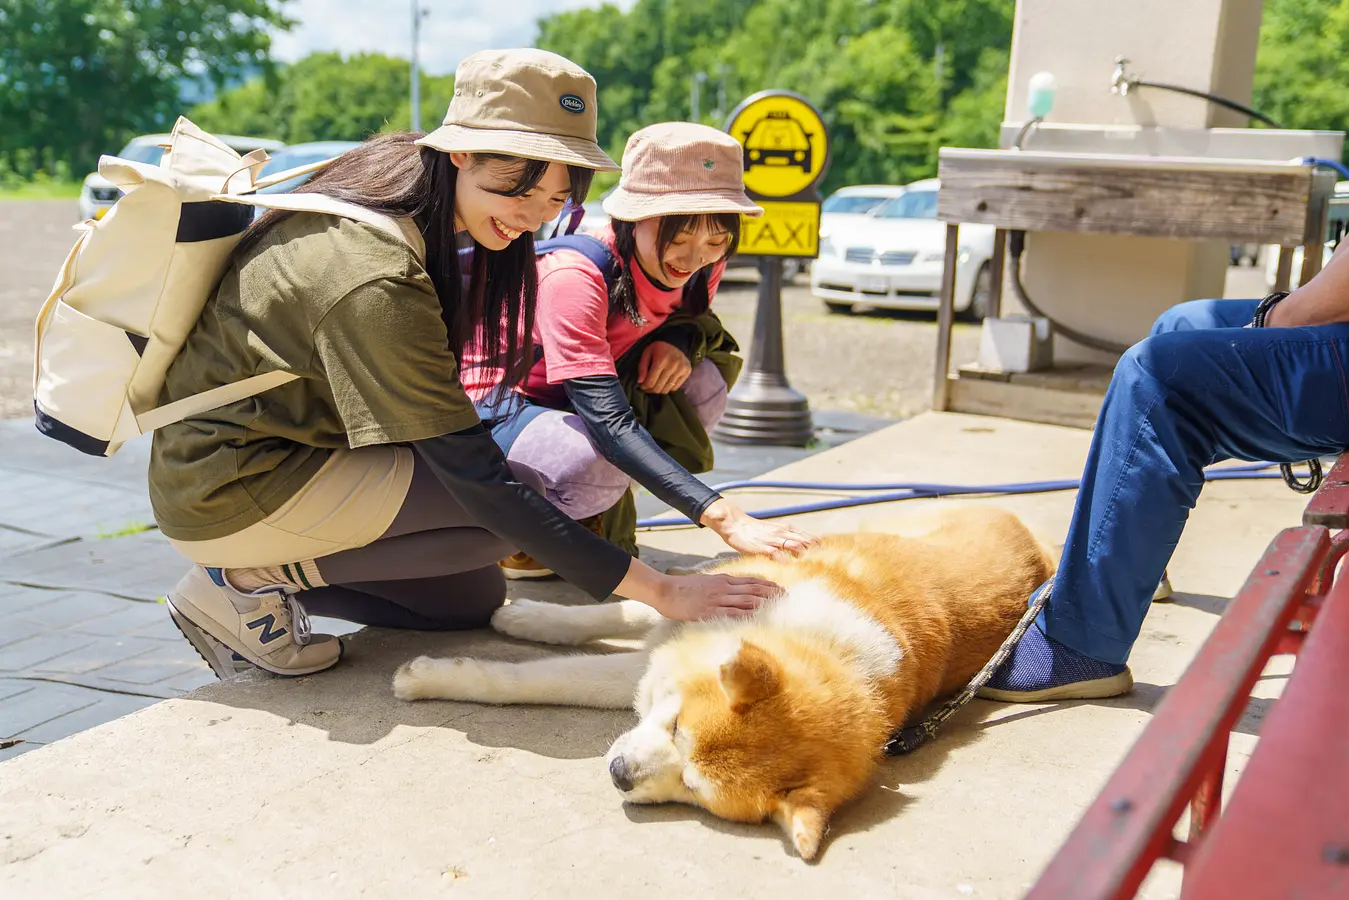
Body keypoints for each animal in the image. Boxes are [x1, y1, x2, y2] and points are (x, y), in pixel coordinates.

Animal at [391, 507, 1052, 858]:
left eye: (693, 788)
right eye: (676, 725)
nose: (619, 774)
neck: (807, 638)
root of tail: (1038, 548)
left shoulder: (645, 669)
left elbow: (556, 680)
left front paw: (440, 674)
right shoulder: (712, 602)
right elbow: (619, 615)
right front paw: (522, 622)